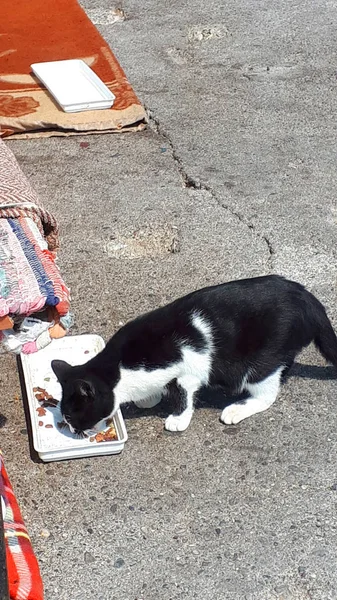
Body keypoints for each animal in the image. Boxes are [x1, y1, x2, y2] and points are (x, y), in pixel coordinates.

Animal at [51, 276, 336, 436]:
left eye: (73, 416)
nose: (74, 431)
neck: (121, 369)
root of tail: (306, 296)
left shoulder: (187, 370)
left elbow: (184, 397)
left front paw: (178, 419)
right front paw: (150, 398)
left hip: (260, 360)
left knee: (266, 394)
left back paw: (236, 409)